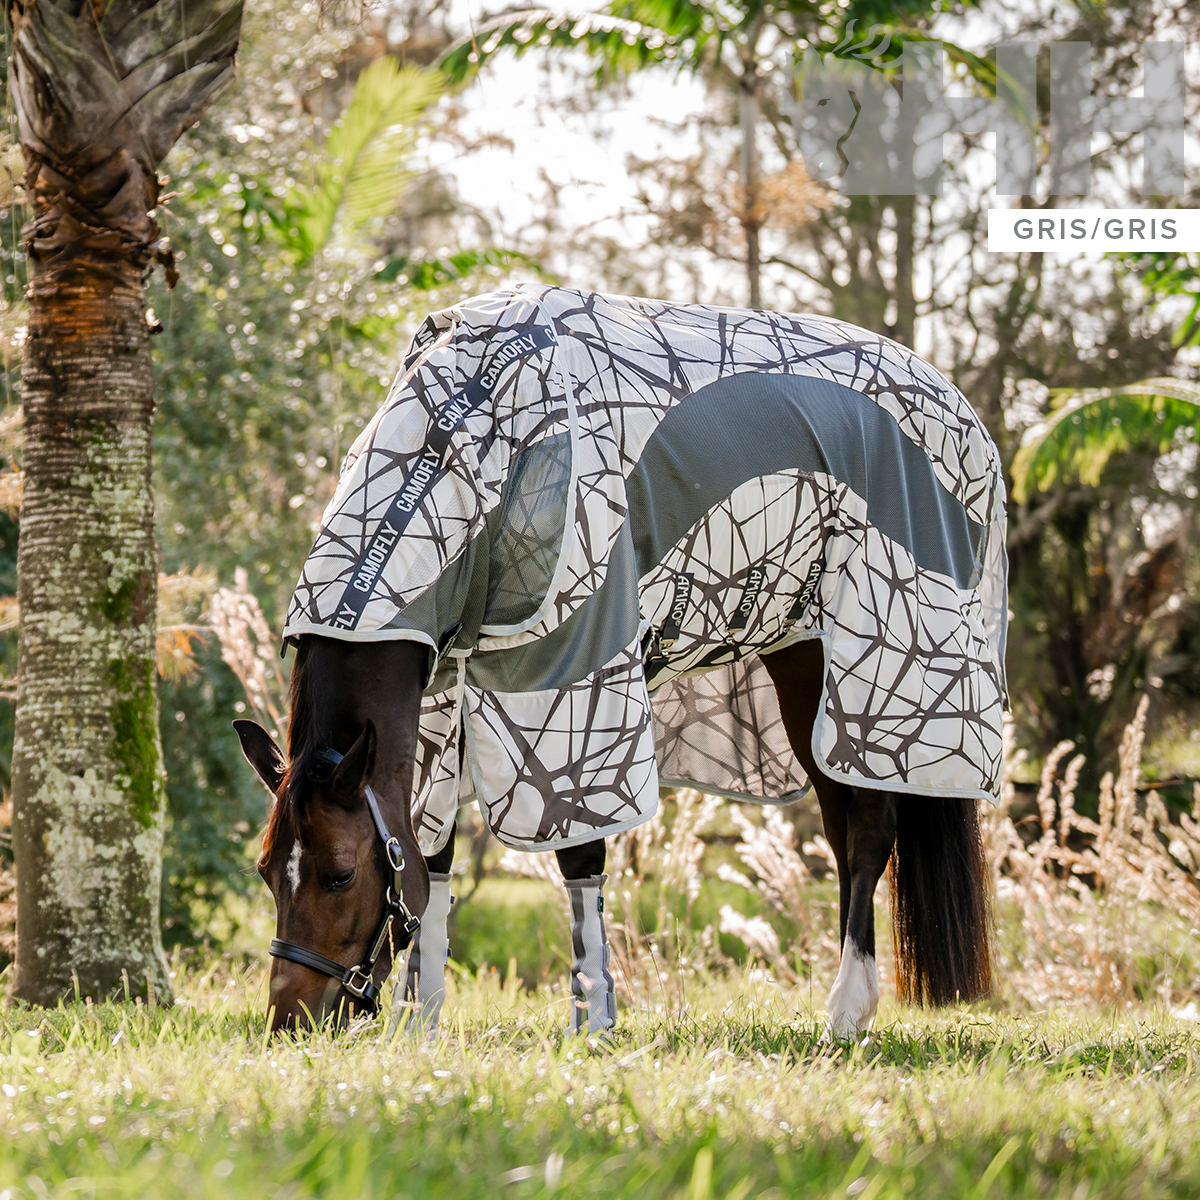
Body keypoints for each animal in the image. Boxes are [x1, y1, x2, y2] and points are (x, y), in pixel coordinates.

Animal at [235, 285, 1005, 1038]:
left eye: (339, 874)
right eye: (267, 871)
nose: (290, 1020)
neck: (472, 452)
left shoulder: (573, 683)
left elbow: (580, 852)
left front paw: (594, 1019)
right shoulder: (439, 694)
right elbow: (435, 851)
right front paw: (419, 1021)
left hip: (871, 673)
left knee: (869, 829)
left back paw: (847, 1011)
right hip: (799, 654)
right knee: (844, 829)